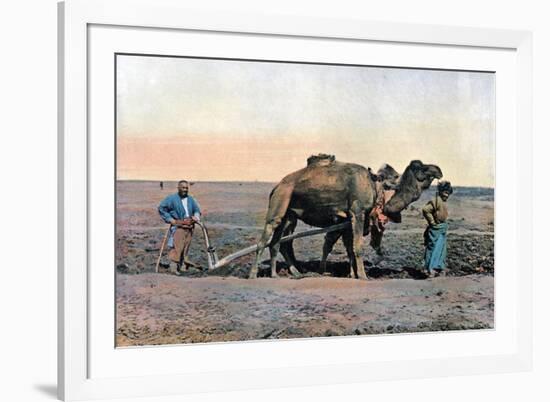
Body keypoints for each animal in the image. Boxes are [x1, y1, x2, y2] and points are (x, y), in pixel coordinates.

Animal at [250, 156, 444, 280]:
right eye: (421, 167)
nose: (439, 169)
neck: (376, 186)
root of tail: (276, 186)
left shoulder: (348, 219)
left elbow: (350, 248)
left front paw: (352, 274)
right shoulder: (358, 212)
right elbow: (357, 247)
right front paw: (363, 276)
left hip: (290, 214)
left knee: (280, 242)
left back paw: (282, 274)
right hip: (281, 202)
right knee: (266, 237)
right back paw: (253, 274)